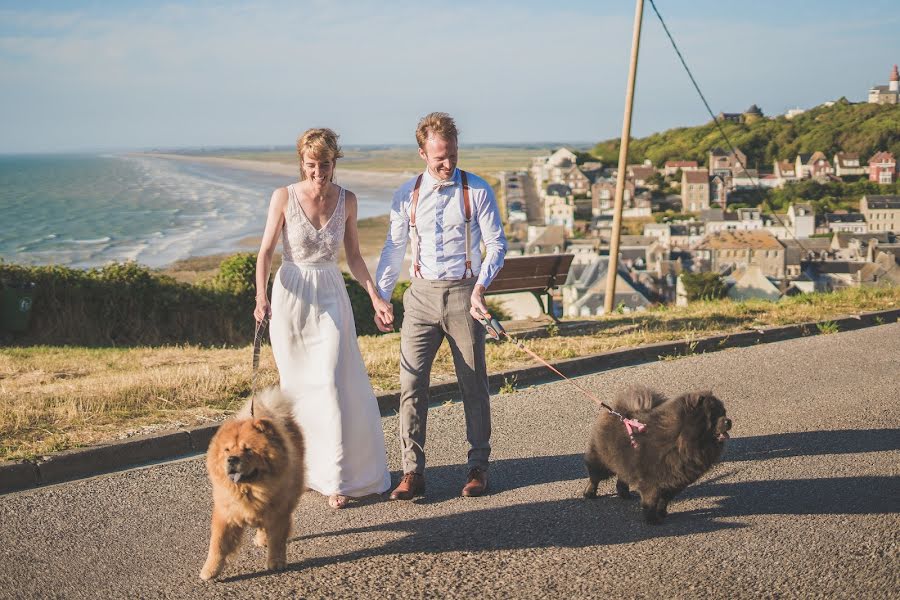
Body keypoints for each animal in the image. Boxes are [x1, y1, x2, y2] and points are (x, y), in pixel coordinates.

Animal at [200, 390, 306, 580]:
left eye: (248, 449)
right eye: (227, 450)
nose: (232, 459)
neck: (249, 489)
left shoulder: (278, 513)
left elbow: (277, 540)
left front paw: (276, 563)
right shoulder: (225, 515)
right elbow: (217, 545)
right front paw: (209, 571)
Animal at [584, 386, 732, 524]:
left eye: (724, 412)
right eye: (713, 416)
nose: (728, 421)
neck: (678, 441)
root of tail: (617, 412)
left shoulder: (674, 483)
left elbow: (663, 501)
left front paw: (662, 513)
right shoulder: (652, 483)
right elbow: (651, 502)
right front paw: (652, 520)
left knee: (622, 477)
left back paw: (624, 493)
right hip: (602, 460)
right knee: (595, 476)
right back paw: (589, 493)